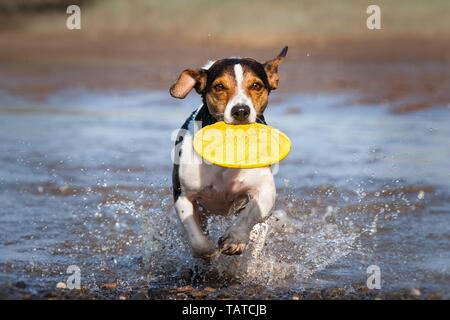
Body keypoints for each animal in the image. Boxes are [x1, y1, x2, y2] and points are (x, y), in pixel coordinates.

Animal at [169, 47, 288, 258]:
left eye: (256, 85)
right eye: (219, 86)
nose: (240, 110)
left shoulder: (264, 189)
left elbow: (250, 215)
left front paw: (235, 239)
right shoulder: (183, 196)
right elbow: (197, 239)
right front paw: (208, 251)